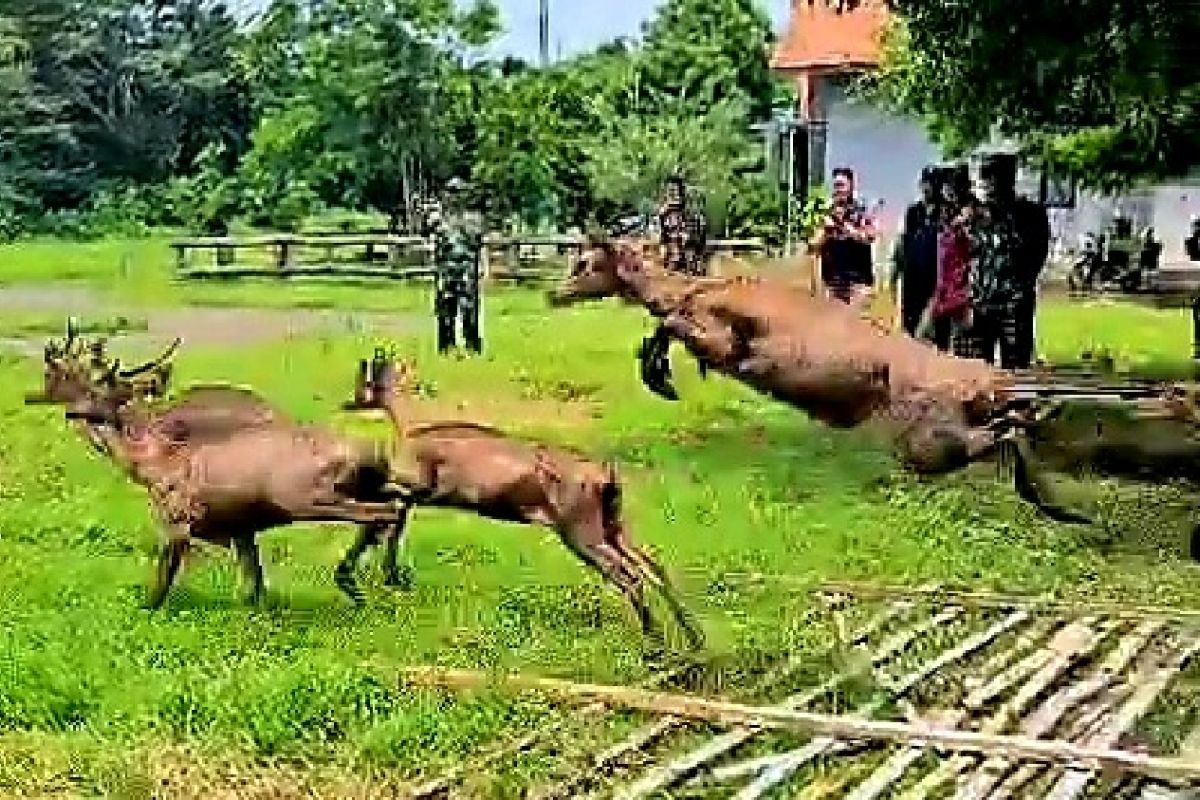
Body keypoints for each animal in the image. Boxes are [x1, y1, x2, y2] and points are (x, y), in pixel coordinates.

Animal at [360, 357, 705, 652]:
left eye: (368, 378)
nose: (353, 401)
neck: (412, 428)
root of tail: (606, 474)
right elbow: (398, 518)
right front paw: (392, 573)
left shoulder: (427, 489)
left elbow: (395, 508)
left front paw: (389, 570)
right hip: (613, 526)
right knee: (653, 565)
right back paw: (694, 638)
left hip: (582, 533)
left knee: (629, 576)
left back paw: (656, 643)